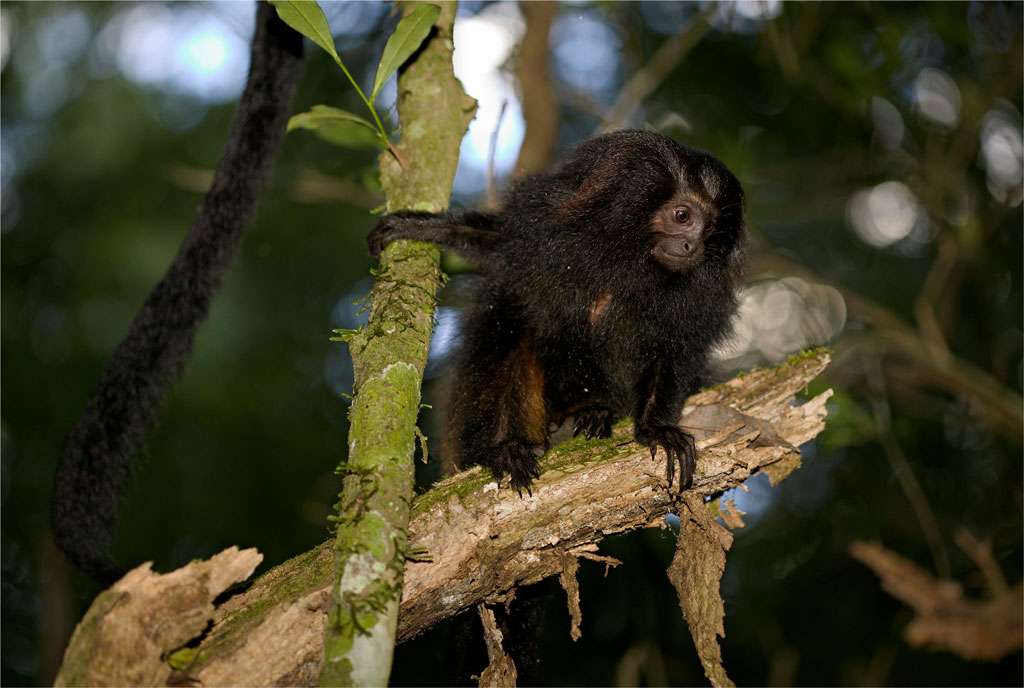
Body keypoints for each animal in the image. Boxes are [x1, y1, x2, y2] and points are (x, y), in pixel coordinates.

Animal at [368, 129, 745, 495]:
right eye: (683, 216)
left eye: (709, 228)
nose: (692, 245)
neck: (627, 263)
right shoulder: (544, 228)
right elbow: (493, 242)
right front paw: (419, 226)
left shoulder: (702, 298)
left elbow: (675, 352)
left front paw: (656, 428)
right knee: (509, 315)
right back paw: (507, 446)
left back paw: (594, 412)